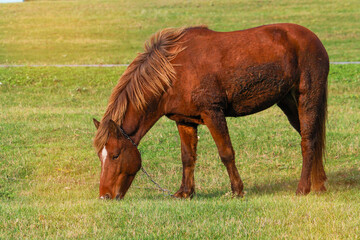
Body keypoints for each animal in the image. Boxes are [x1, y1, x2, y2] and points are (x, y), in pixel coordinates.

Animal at [93, 23, 330, 200]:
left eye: (115, 155)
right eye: (99, 156)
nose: (105, 196)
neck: (174, 72)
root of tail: (313, 38)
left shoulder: (213, 113)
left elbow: (226, 153)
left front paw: (237, 190)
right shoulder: (185, 121)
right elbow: (187, 157)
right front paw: (185, 192)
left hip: (307, 96)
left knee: (308, 141)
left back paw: (303, 188)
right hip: (287, 101)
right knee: (313, 138)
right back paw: (319, 184)